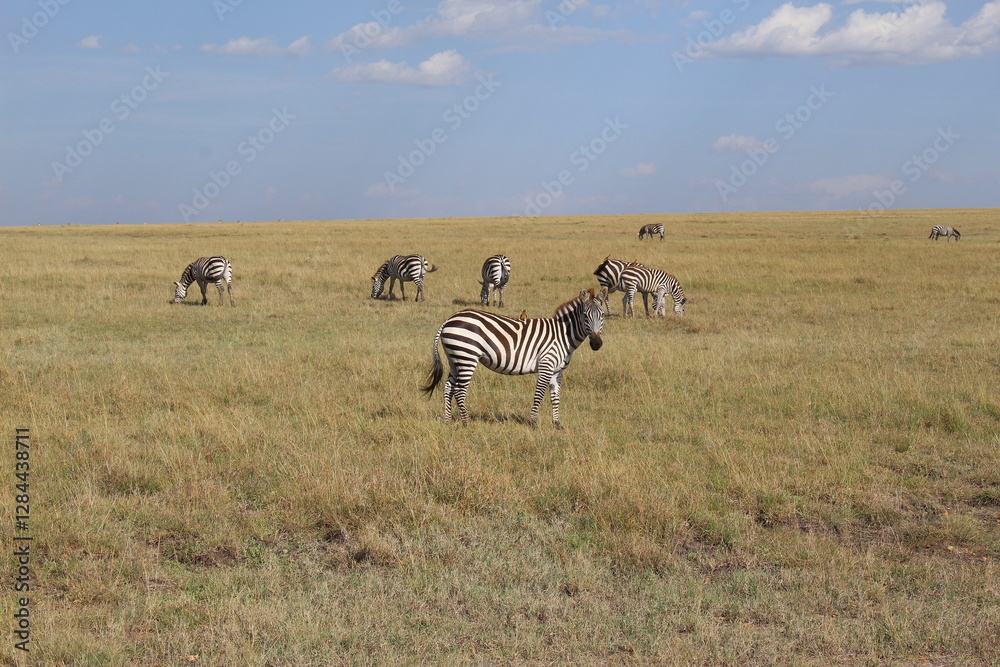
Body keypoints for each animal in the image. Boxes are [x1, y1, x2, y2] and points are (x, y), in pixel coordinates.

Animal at [421, 288, 604, 429]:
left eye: (602, 315)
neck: (562, 336)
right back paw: (466, 422)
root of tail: (449, 319)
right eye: (585, 316)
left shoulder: (557, 371)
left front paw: (557, 424)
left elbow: (555, 397)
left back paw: (448, 421)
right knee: (459, 390)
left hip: (455, 359)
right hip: (467, 357)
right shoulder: (546, 365)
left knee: (448, 387)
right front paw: (533, 423)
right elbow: (539, 394)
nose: (596, 343)